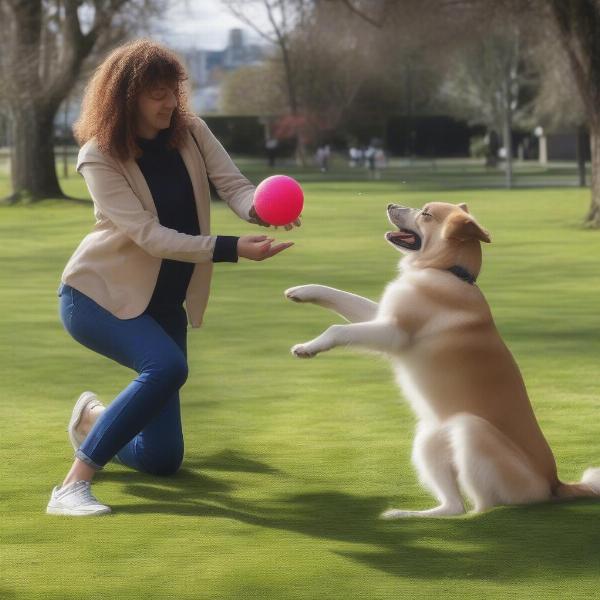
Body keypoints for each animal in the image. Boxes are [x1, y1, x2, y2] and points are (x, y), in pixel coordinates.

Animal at [288, 202, 600, 516]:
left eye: (426, 214)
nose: (390, 205)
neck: (448, 271)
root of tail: (555, 483)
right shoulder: (382, 316)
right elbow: (342, 296)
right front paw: (302, 291)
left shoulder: (393, 331)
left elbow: (337, 329)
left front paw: (308, 347)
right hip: (428, 438)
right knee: (453, 505)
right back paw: (406, 515)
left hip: (470, 431)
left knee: (482, 507)